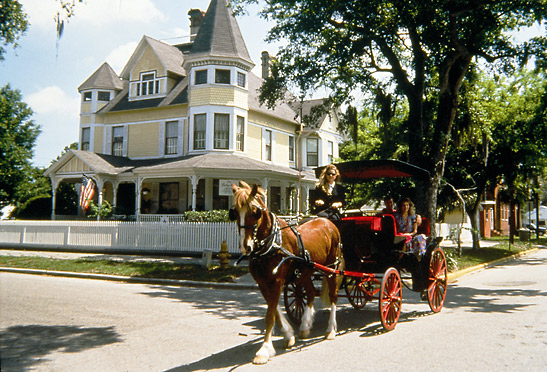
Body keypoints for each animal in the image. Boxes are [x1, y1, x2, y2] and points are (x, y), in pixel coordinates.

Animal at [231, 182, 342, 364]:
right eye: (234, 212)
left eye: (255, 212)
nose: (245, 246)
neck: (271, 245)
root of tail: (328, 222)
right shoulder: (263, 283)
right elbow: (275, 310)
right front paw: (289, 335)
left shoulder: (277, 282)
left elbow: (270, 315)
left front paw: (264, 350)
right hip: (304, 272)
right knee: (311, 292)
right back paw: (305, 326)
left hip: (332, 268)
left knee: (333, 295)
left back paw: (331, 329)